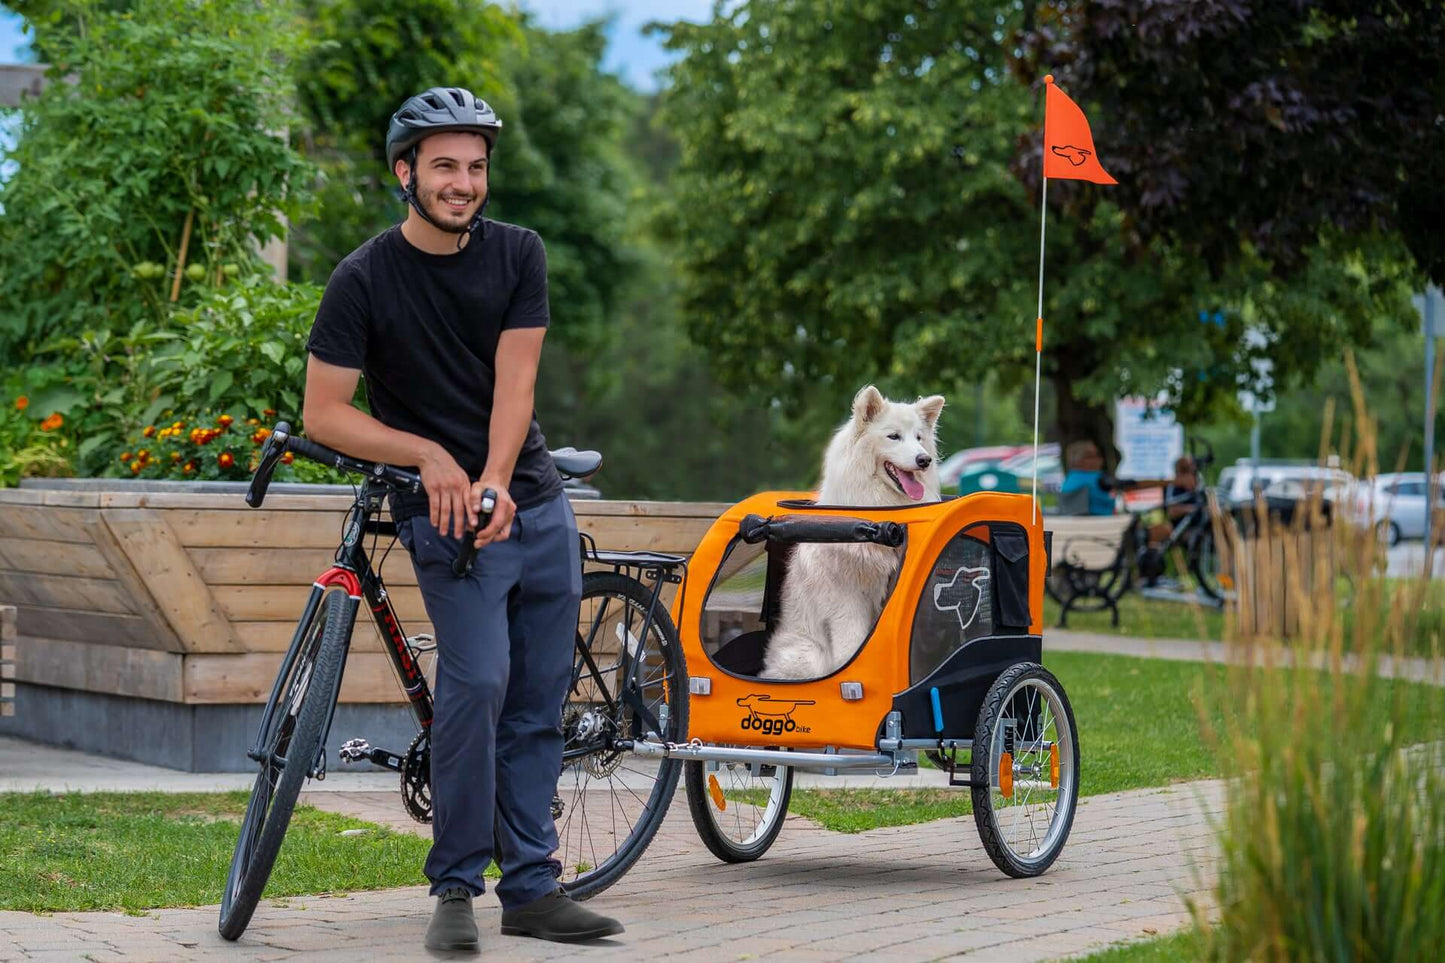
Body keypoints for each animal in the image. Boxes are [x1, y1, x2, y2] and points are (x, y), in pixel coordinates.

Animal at [757, 387, 947, 679]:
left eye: (919, 438)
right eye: (893, 436)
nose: (924, 460)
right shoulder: (848, 601)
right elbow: (851, 649)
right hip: (808, 656)